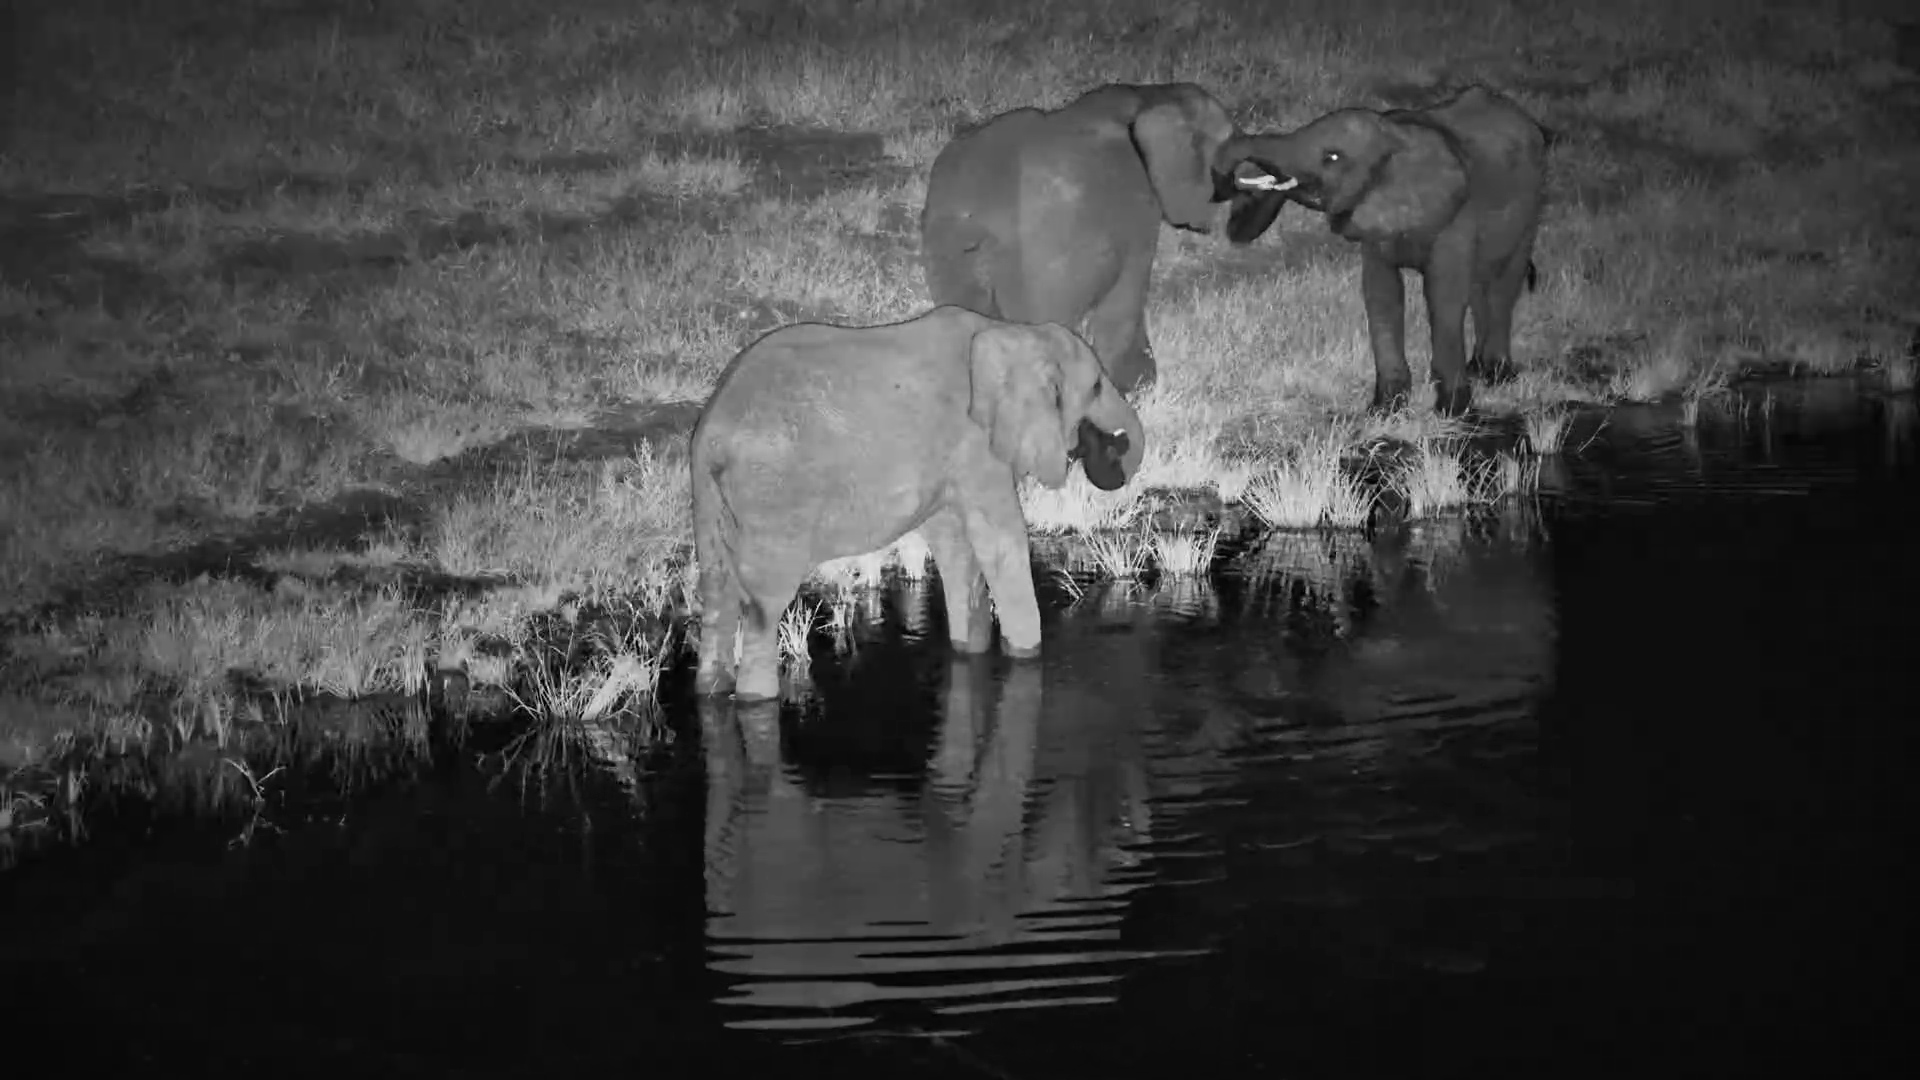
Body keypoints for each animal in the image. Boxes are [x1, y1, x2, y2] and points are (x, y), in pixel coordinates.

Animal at [689, 305, 1147, 702]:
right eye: (1096, 387)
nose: (1116, 442)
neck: (1013, 330)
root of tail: (713, 434)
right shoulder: (976, 447)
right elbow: (1000, 542)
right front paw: (1028, 659)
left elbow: (955, 545)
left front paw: (969, 651)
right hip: (774, 500)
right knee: (763, 607)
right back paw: (755, 699)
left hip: (707, 494)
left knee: (716, 587)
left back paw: (712, 690)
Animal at [920, 82, 1238, 394]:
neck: (1150, 94)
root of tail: (977, 215)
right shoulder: (1138, 208)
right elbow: (1125, 297)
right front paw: (1138, 388)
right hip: (1042, 263)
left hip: (946, 248)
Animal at [1212, 85, 1549, 416]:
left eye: (1332, 157)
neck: (1396, 136)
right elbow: (1381, 292)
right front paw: (1385, 409)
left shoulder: (1457, 216)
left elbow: (1443, 295)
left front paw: (1453, 411)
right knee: (1482, 283)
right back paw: (1479, 369)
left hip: (1532, 205)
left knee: (1504, 283)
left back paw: (1496, 375)